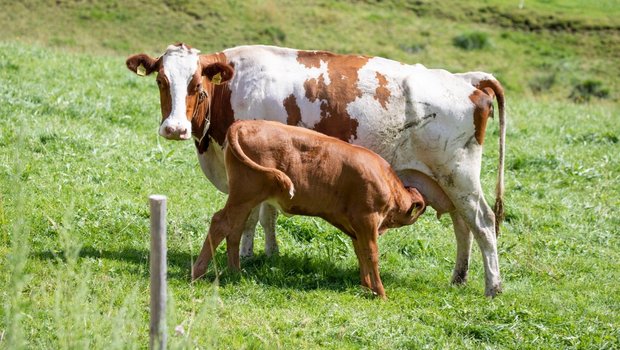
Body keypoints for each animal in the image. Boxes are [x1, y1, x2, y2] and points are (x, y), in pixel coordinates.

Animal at [193, 118, 426, 298]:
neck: (386, 180)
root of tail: (243, 124)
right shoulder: (366, 219)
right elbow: (371, 253)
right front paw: (380, 293)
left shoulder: (356, 227)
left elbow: (360, 253)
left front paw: (366, 287)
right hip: (244, 194)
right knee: (220, 223)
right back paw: (198, 273)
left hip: (245, 200)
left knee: (234, 229)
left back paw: (235, 273)